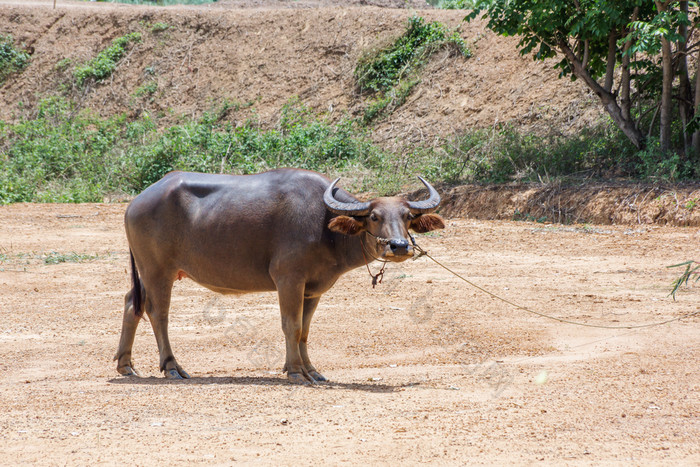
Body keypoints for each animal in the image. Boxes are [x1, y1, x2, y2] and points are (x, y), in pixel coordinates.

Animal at [115, 168, 442, 384]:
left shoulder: (313, 288)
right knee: (158, 313)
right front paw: (296, 371)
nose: (399, 246)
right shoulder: (288, 279)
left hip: (146, 272)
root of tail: (135, 202)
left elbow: (305, 331)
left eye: (407, 217)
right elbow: (291, 326)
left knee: (132, 304)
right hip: (158, 270)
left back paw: (126, 365)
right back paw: (172, 367)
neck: (324, 226)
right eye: (374, 216)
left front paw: (312, 371)